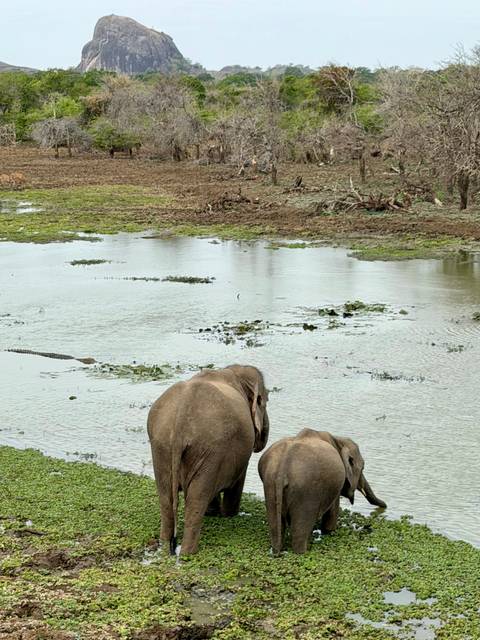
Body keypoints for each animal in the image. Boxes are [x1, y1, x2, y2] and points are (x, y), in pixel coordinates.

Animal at [147, 364, 270, 555]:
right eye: (265, 401)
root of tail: (180, 423)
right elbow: (237, 481)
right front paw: (229, 514)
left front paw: (213, 513)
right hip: (208, 450)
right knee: (196, 500)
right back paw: (187, 554)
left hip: (161, 447)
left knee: (166, 498)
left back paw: (165, 548)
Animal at [258, 429, 386, 554]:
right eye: (363, 467)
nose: (385, 506)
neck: (338, 439)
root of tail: (282, 470)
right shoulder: (336, 485)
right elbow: (333, 511)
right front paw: (329, 531)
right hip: (306, 493)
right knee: (300, 531)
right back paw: (302, 552)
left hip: (270, 484)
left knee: (276, 527)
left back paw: (277, 551)